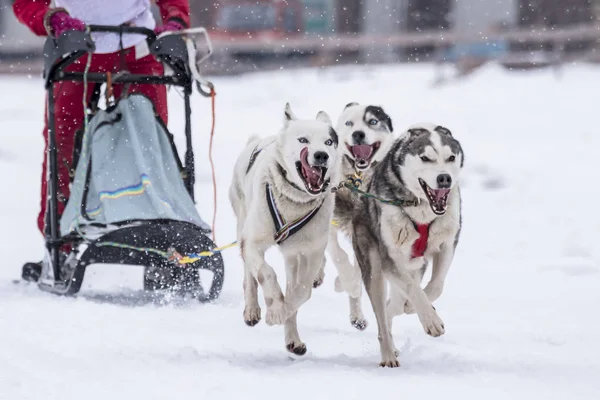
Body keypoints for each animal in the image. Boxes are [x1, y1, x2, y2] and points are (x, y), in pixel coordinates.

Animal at [229, 102, 342, 354]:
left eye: (329, 142)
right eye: (303, 140)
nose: (322, 155)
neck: (294, 202)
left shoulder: (311, 252)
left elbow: (301, 292)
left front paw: (282, 310)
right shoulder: (253, 243)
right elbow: (266, 273)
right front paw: (275, 309)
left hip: (293, 256)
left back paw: (293, 339)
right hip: (242, 223)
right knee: (249, 276)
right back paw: (253, 308)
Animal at [352, 123, 464, 368]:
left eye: (451, 157)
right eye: (425, 158)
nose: (445, 178)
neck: (422, 208)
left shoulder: (447, 243)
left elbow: (436, 286)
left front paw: (416, 307)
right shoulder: (390, 256)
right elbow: (413, 290)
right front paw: (430, 319)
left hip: (412, 269)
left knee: (391, 306)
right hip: (374, 266)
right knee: (382, 316)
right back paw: (388, 355)